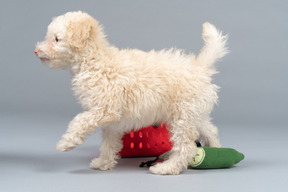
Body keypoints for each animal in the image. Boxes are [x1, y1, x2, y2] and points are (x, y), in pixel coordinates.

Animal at [34, 11, 227, 175]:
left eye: (57, 39)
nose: (36, 51)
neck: (94, 60)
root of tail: (200, 67)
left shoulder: (104, 110)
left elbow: (79, 121)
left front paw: (66, 143)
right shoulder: (110, 120)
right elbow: (108, 142)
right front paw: (103, 163)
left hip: (183, 116)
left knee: (186, 146)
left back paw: (167, 167)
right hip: (194, 113)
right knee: (210, 129)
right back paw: (217, 150)